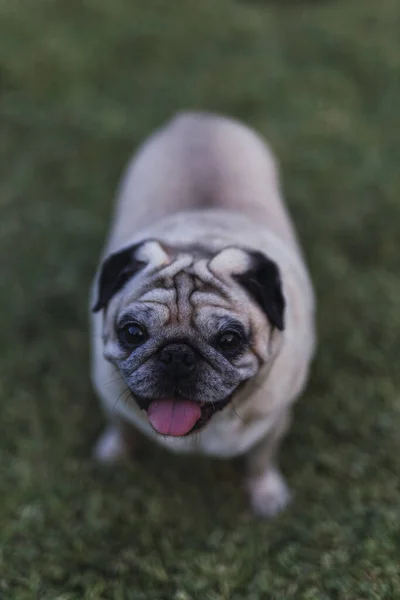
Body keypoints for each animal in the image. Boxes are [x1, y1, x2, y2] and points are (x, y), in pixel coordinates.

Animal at [90, 115, 316, 516]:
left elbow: (261, 457)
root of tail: (197, 117)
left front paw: (266, 493)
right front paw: (114, 455)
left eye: (229, 340)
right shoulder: (107, 390)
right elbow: (119, 425)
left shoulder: (275, 420)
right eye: (132, 333)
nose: (177, 355)